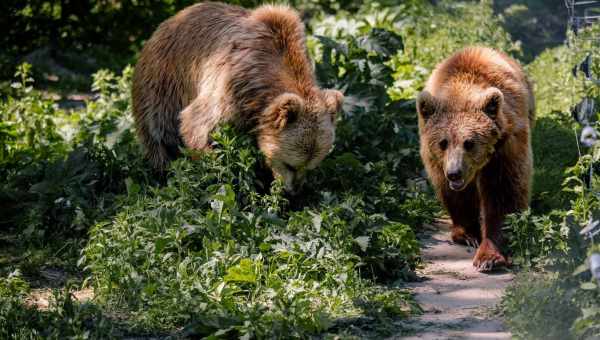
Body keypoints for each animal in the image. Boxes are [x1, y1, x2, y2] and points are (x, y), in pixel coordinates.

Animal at [134, 1, 344, 194]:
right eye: (290, 165)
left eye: (310, 167)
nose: (293, 191)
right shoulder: (230, 85)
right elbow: (197, 126)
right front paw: (218, 176)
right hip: (163, 84)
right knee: (159, 132)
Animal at [418, 46, 536, 272]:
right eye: (443, 142)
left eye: (469, 142)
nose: (454, 173)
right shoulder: (436, 161)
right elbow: (456, 195)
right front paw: (468, 234)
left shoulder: (505, 147)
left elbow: (503, 193)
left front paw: (489, 256)